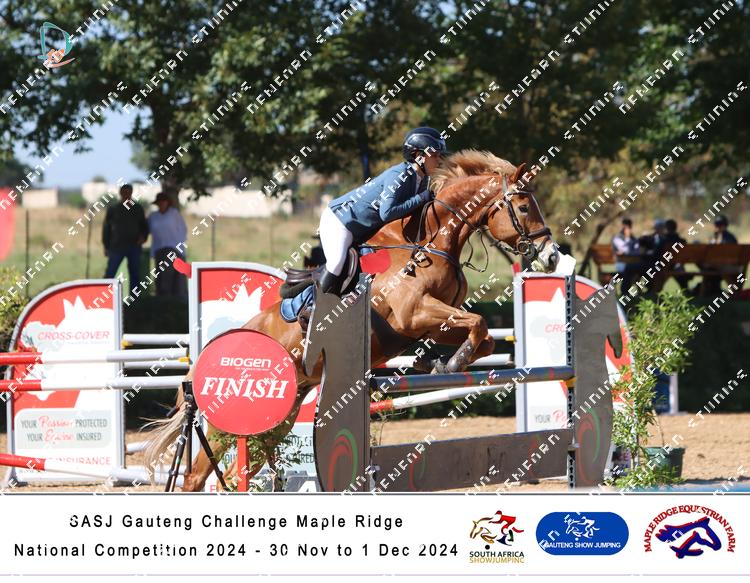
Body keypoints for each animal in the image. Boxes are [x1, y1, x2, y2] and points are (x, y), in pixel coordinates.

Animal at [144, 150, 560, 491]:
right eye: (524, 207)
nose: (552, 255)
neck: (428, 242)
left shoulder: (432, 321)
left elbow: (483, 336)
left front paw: (436, 362)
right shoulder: (414, 313)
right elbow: (478, 324)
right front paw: (452, 362)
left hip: (280, 417)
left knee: (232, 474)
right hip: (227, 424)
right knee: (197, 477)